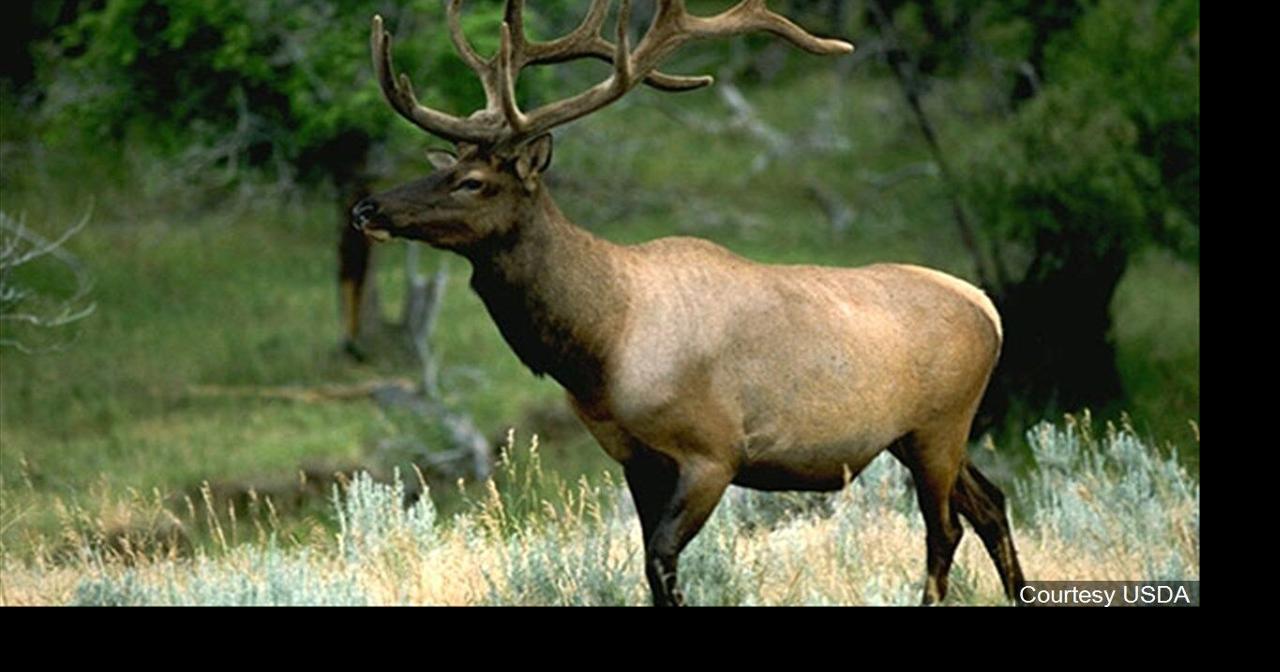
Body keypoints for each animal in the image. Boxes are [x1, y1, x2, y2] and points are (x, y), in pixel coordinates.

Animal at [351, 0, 1026, 606]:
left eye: (472, 182)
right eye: (445, 166)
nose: (367, 207)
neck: (601, 345)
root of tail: (988, 306)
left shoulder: (712, 452)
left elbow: (661, 562)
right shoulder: (634, 458)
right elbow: (650, 566)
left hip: (940, 422)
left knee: (945, 530)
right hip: (918, 435)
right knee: (992, 504)